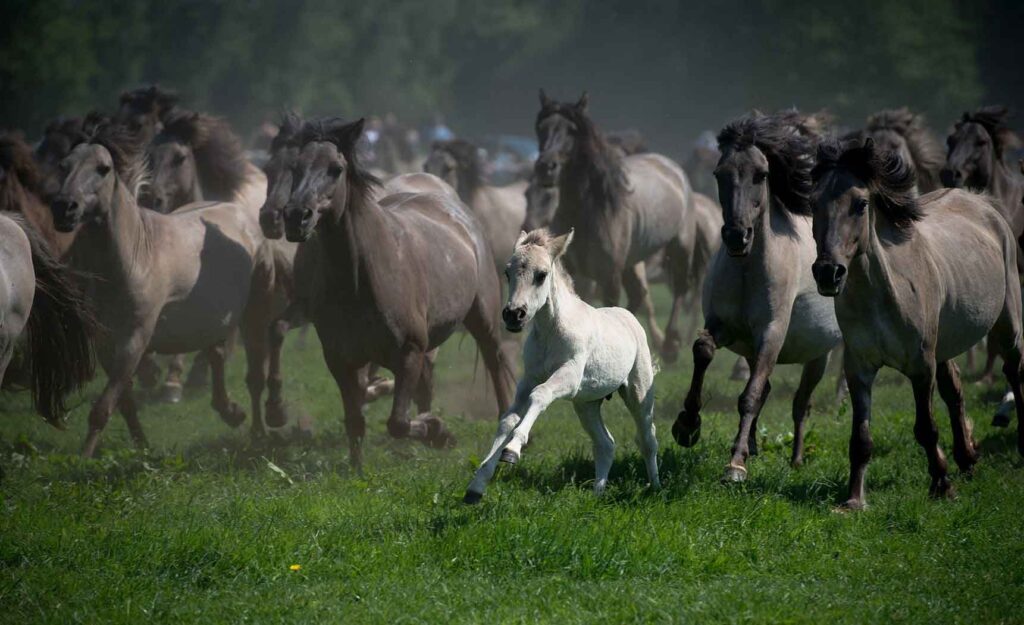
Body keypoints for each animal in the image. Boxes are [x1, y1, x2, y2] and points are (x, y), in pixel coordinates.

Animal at [462, 228, 659, 502]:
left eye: (541, 274)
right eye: (507, 272)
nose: (513, 315)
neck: (550, 332)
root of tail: (629, 317)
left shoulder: (569, 376)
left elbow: (540, 395)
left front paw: (512, 450)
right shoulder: (529, 379)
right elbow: (508, 419)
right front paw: (476, 486)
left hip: (638, 392)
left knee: (648, 439)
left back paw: (656, 489)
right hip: (586, 404)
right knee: (605, 444)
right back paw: (597, 494)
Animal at [671, 111, 839, 479]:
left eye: (761, 175)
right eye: (719, 174)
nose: (737, 236)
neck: (748, 269)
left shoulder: (772, 333)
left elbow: (750, 396)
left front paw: (735, 464)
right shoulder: (724, 326)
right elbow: (703, 350)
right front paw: (687, 426)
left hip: (819, 354)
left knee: (800, 403)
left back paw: (795, 458)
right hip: (751, 349)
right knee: (769, 389)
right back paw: (752, 445)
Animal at [806, 136, 1024, 506]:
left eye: (860, 204)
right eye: (813, 204)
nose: (828, 272)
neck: (882, 295)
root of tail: (982, 202)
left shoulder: (921, 366)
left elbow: (925, 427)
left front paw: (941, 485)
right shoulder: (859, 368)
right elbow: (860, 436)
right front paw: (853, 500)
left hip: (1008, 326)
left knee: (1014, 372)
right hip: (946, 342)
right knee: (955, 391)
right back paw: (967, 458)